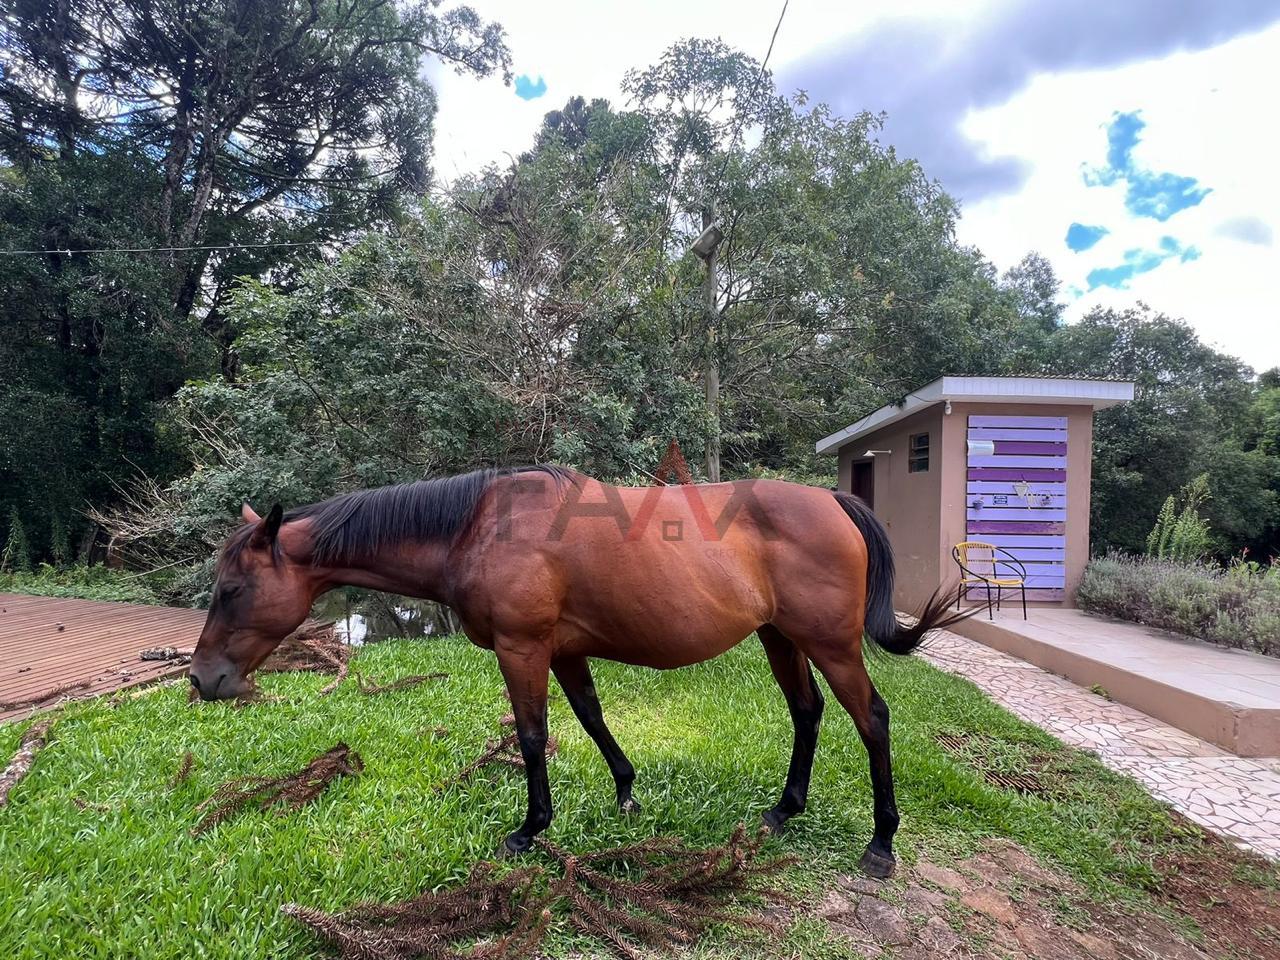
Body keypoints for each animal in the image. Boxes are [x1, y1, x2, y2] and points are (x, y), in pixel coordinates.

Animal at [189, 465, 962, 880]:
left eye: (232, 589)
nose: (202, 680)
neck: (479, 526)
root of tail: (832, 500)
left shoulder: (523, 648)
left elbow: (533, 735)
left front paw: (530, 829)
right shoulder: (562, 651)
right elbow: (591, 717)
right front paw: (626, 791)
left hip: (831, 645)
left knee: (872, 720)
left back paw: (881, 843)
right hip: (781, 639)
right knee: (807, 712)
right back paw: (783, 808)